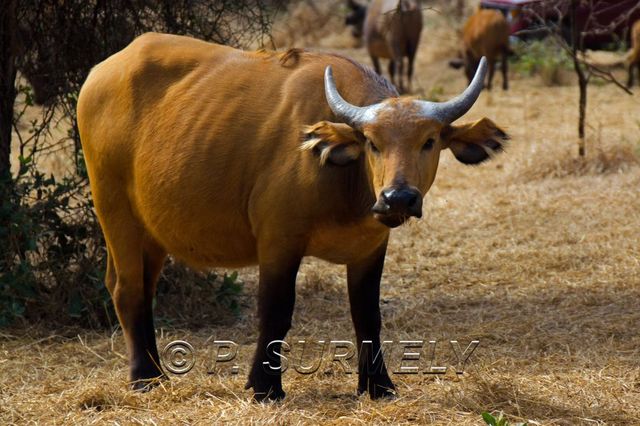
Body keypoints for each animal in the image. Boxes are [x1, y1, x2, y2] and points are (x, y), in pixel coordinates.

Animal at [77, 31, 508, 402]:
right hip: (114, 210)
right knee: (127, 288)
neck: (344, 183)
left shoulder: (370, 249)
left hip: (151, 232)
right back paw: (144, 377)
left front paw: (378, 385)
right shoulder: (278, 242)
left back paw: (155, 370)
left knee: (139, 287)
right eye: (372, 142)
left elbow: (367, 316)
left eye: (429, 141)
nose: (397, 198)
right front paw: (264, 386)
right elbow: (276, 310)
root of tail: (101, 72)